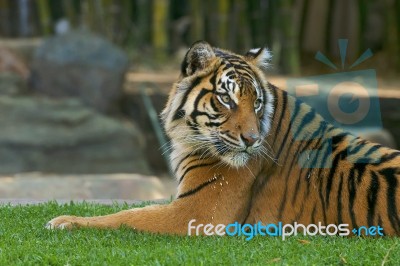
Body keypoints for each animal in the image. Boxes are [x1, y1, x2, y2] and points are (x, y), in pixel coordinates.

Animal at [47, 40, 400, 236]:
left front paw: (64, 222)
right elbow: (136, 208)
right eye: (226, 99)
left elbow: (127, 216)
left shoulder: (198, 212)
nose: (253, 140)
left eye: (255, 102)